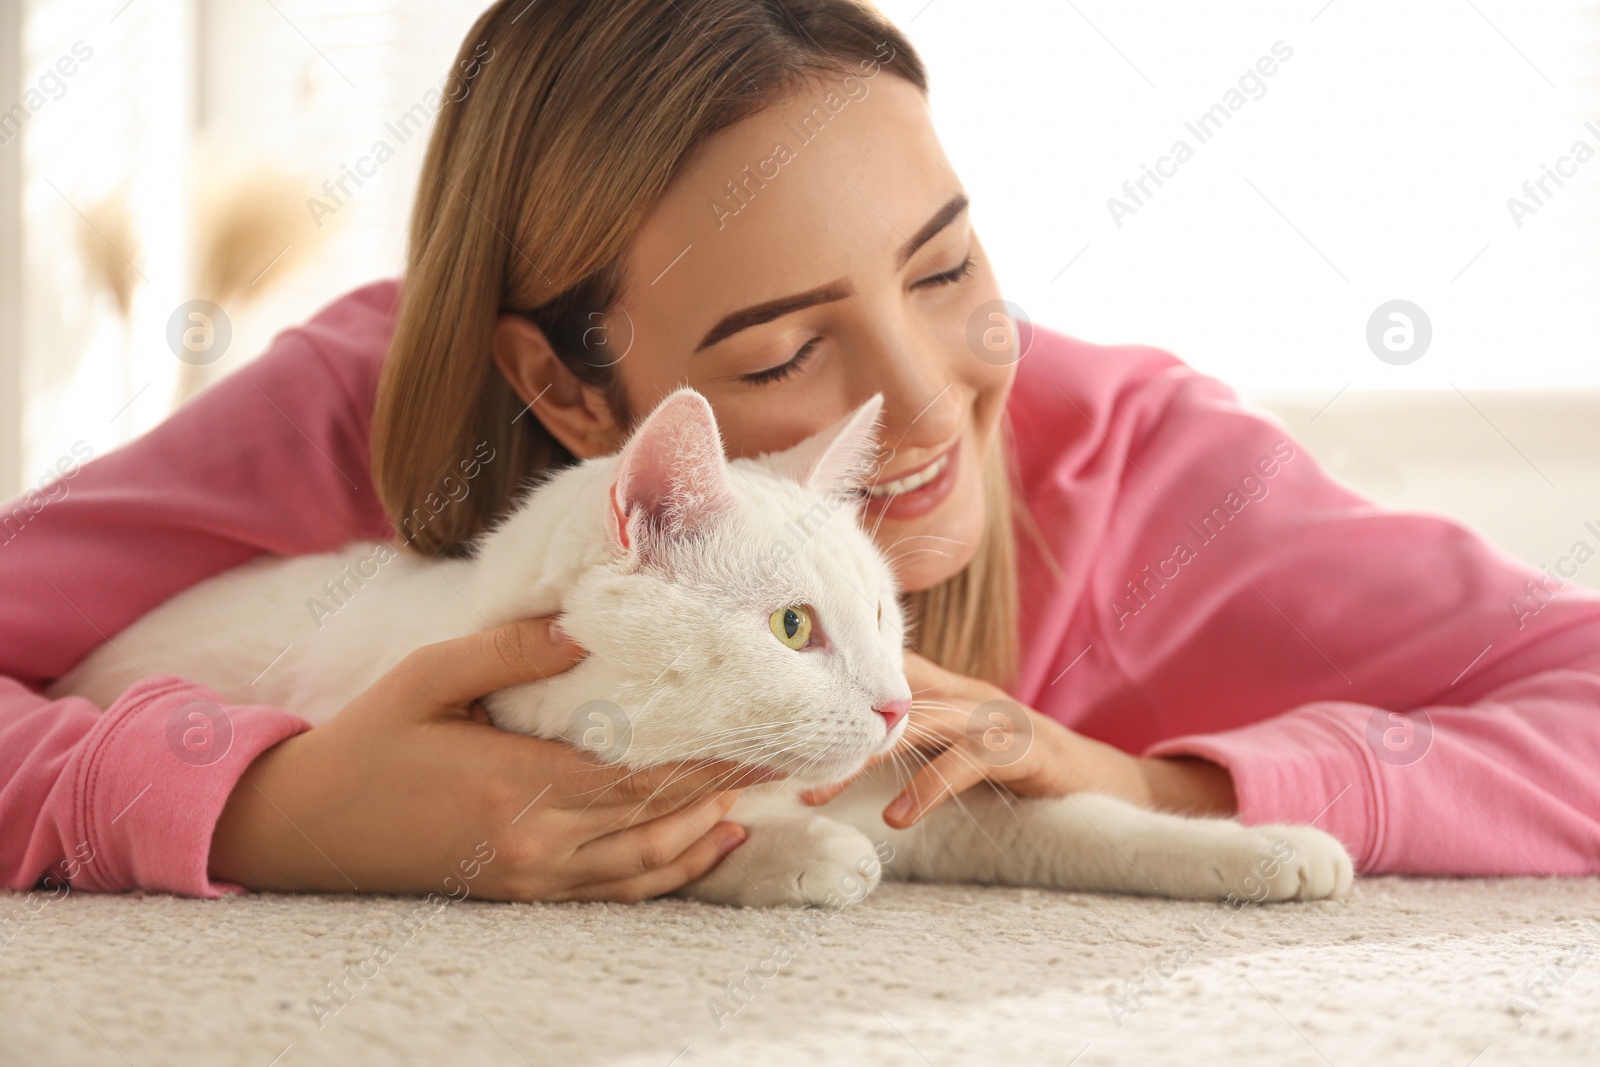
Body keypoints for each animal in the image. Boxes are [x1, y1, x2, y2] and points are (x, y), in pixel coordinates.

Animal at [50, 388, 1350, 908]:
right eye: (791, 627)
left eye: (885, 617)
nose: (893, 704)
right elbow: (679, 843)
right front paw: (796, 857)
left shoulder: (917, 795)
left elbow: (1086, 822)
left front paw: (1273, 844)